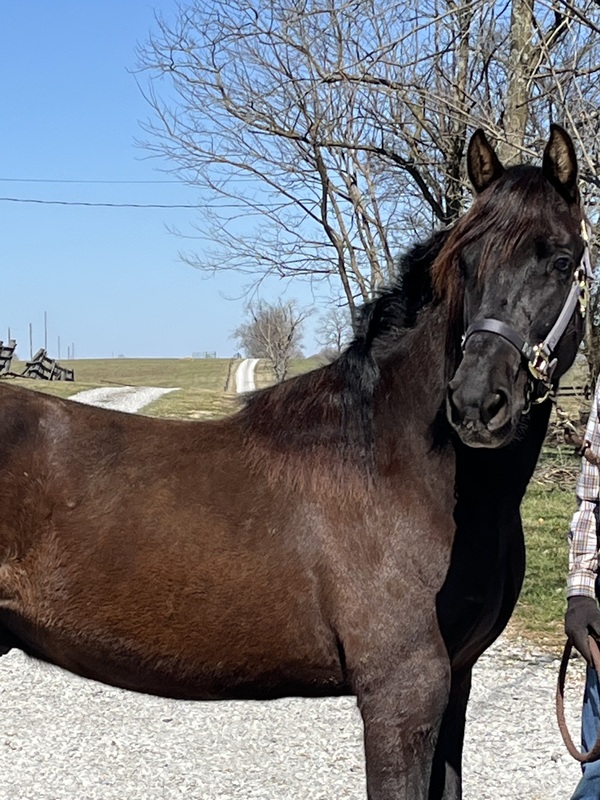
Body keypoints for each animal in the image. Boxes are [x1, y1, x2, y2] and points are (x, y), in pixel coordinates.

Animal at [0, 125, 592, 800]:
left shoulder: (455, 683)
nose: (476, 403)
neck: (398, 467)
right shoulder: (403, 694)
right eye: (466, 263)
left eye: (562, 260)